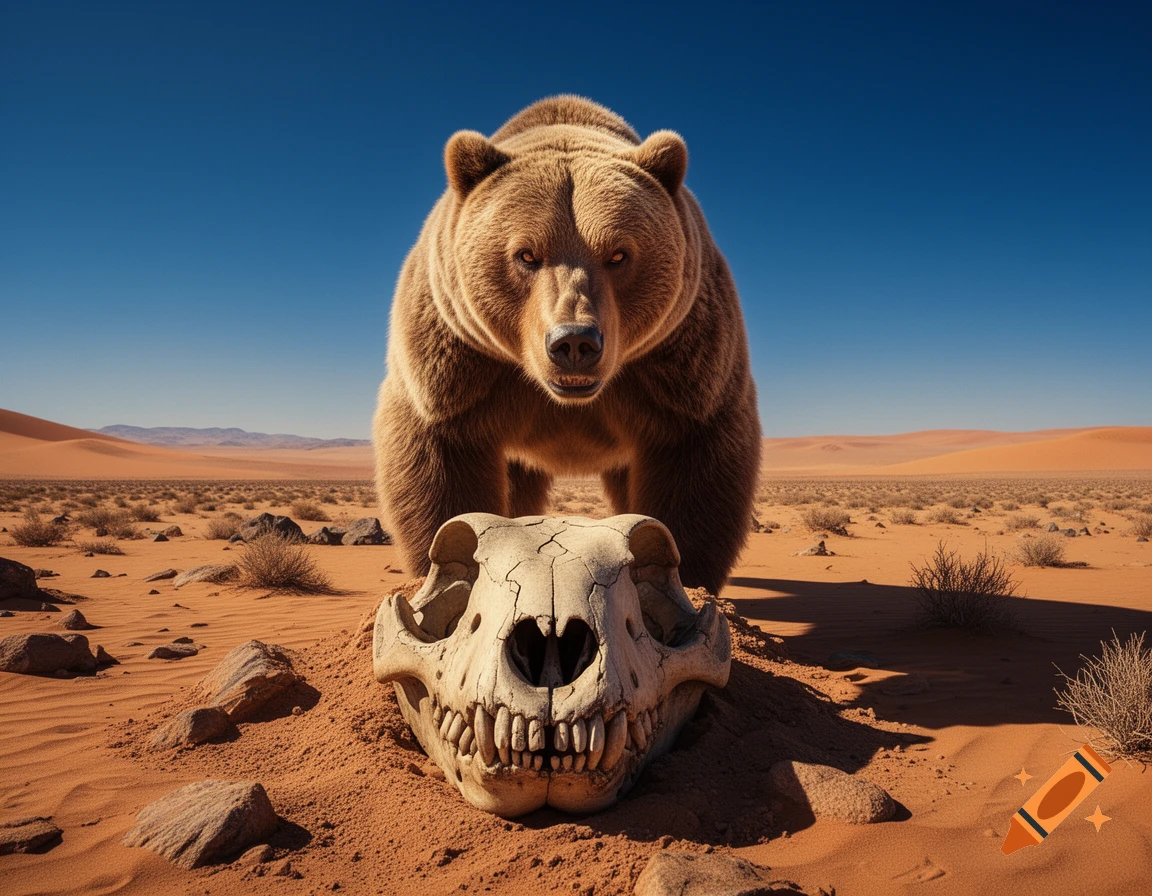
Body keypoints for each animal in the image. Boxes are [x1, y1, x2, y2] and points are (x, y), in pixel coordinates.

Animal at [373, 96, 760, 595]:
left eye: (618, 253)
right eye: (526, 254)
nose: (574, 341)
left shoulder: (679, 370)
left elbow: (696, 468)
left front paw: (683, 578)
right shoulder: (460, 368)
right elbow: (440, 462)